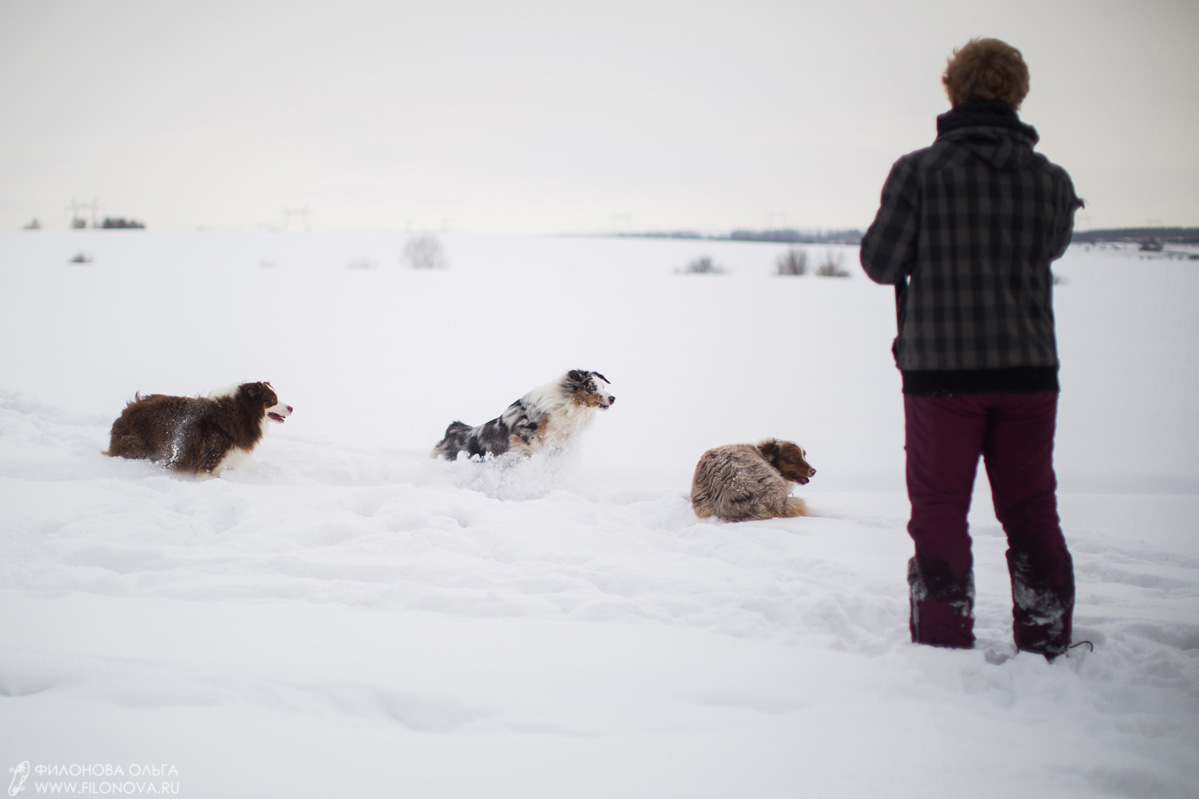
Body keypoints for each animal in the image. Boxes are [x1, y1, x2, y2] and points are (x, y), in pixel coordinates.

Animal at [103, 379, 290, 472]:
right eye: (273, 401)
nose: (292, 408)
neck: (239, 411)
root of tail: (125, 413)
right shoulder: (210, 459)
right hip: (137, 444)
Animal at [434, 369, 618, 458]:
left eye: (603, 386)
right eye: (592, 387)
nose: (613, 398)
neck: (565, 404)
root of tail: (451, 432)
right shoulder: (524, 432)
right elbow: (532, 446)